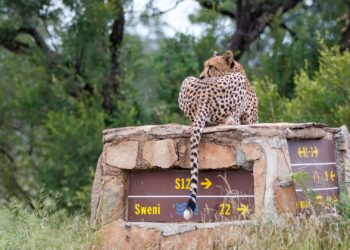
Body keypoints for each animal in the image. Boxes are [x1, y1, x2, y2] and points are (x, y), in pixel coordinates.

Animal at [179, 50, 258, 219]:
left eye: (211, 67)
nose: (201, 77)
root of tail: (202, 98)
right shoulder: (253, 118)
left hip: (186, 80)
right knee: (231, 121)